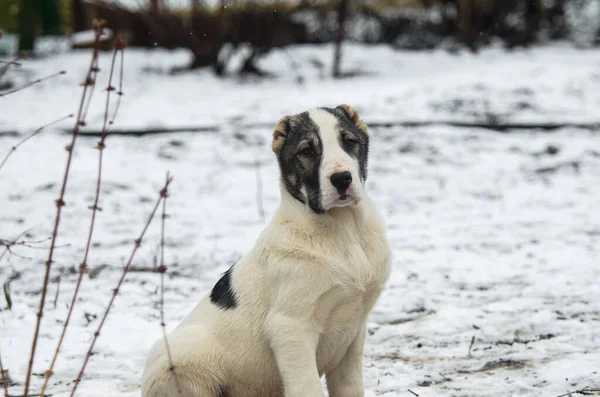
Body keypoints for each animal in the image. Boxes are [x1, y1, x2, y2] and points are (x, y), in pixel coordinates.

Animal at [143, 104, 392, 396]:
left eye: (349, 142)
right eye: (307, 151)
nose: (342, 178)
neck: (345, 230)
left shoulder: (354, 329)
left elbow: (350, 387)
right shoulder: (291, 327)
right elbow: (307, 387)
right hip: (186, 350)